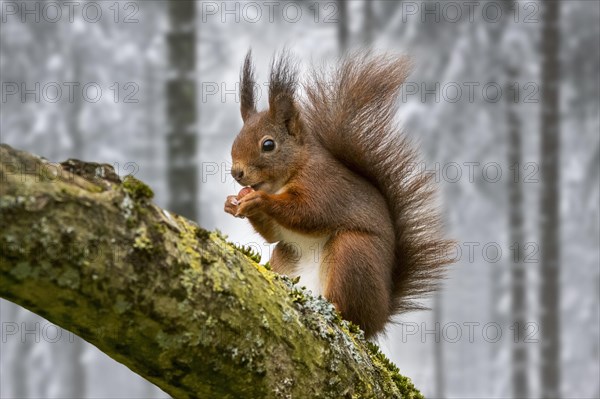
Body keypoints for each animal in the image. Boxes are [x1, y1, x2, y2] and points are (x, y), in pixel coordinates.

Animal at [223, 50, 452, 338]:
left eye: (268, 145)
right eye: (235, 140)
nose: (236, 173)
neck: (291, 172)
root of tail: (380, 316)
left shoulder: (324, 186)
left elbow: (310, 214)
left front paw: (259, 200)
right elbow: (273, 234)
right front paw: (232, 204)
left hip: (353, 252)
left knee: (351, 311)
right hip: (286, 255)